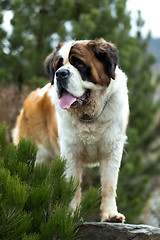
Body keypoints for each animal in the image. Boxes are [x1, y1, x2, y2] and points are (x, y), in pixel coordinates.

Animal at [12, 38, 130, 222]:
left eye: (79, 63)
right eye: (58, 66)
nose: (60, 74)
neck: (88, 116)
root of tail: (32, 97)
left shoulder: (112, 151)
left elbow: (109, 185)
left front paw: (110, 214)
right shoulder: (70, 153)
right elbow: (73, 184)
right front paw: (70, 214)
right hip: (36, 154)